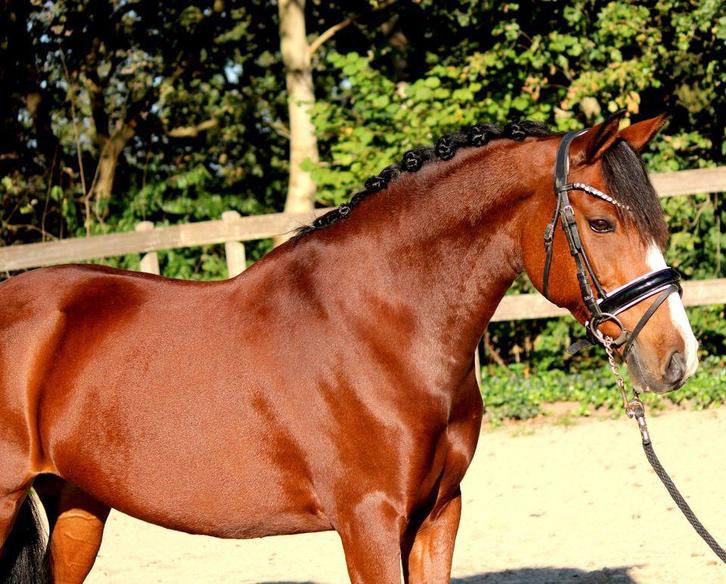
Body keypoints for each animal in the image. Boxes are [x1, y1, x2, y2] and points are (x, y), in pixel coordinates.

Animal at [0, 110, 698, 584]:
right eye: (602, 223)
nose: (678, 358)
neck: (381, 326)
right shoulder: (368, 524)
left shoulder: (438, 515)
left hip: (80, 505)